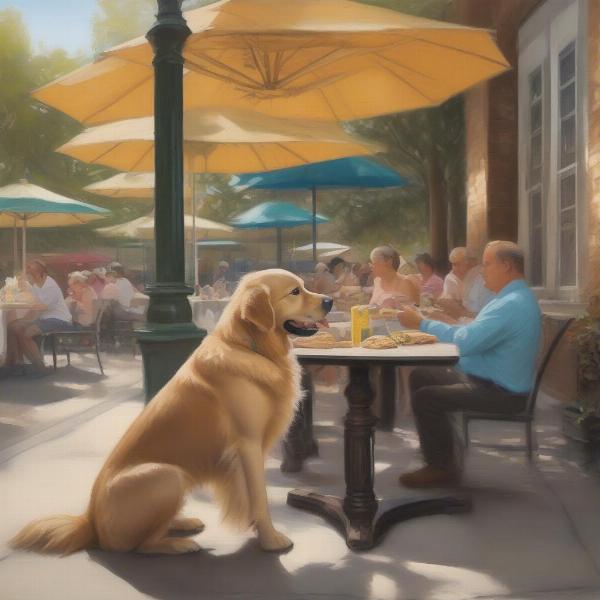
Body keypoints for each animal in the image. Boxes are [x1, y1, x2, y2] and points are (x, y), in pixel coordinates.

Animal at [9, 270, 332, 556]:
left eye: (304, 286)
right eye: (295, 291)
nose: (329, 300)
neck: (250, 346)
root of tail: (90, 523)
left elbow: (251, 496)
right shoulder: (248, 444)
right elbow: (260, 498)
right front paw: (271, 540)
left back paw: (181, 522)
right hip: (166, 476)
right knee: (138, 546)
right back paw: (178, 544)